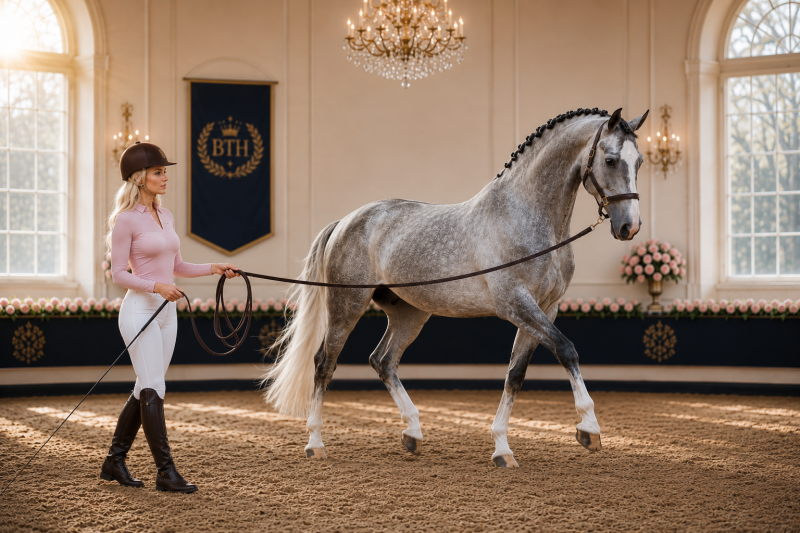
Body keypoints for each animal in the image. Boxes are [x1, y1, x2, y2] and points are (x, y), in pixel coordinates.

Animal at [263, 106, 648, 467]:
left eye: (640, 161)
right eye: (610, 159)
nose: (629, 226)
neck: (525, 217)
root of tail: (345, 221)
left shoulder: (544, 308)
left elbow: (515, 374)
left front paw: (502, 448)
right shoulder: (516, 304)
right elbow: (567, 349)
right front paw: (589, 429)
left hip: (410, 314)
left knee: (383, 360)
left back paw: (413, 433)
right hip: (347, 306)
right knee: (324, 363)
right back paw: (315, 443)